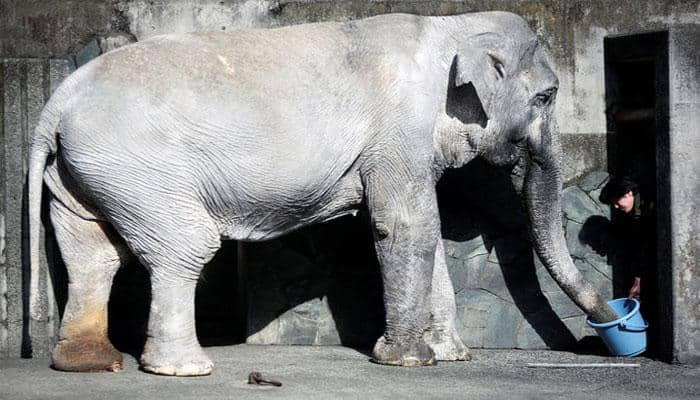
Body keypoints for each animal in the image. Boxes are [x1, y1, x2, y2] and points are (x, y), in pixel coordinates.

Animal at [28, 11, 616, 376]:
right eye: (547, 97)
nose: (608, 331)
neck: (452, 26)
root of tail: (54, 103)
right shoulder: (398, 131)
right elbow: (407, 225)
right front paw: (409, 360)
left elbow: (425, 231)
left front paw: (451, 356)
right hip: (138, 165)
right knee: (184, 246)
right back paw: (185, 368)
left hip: (87, 171)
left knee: (90, 254)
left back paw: (89, 363)